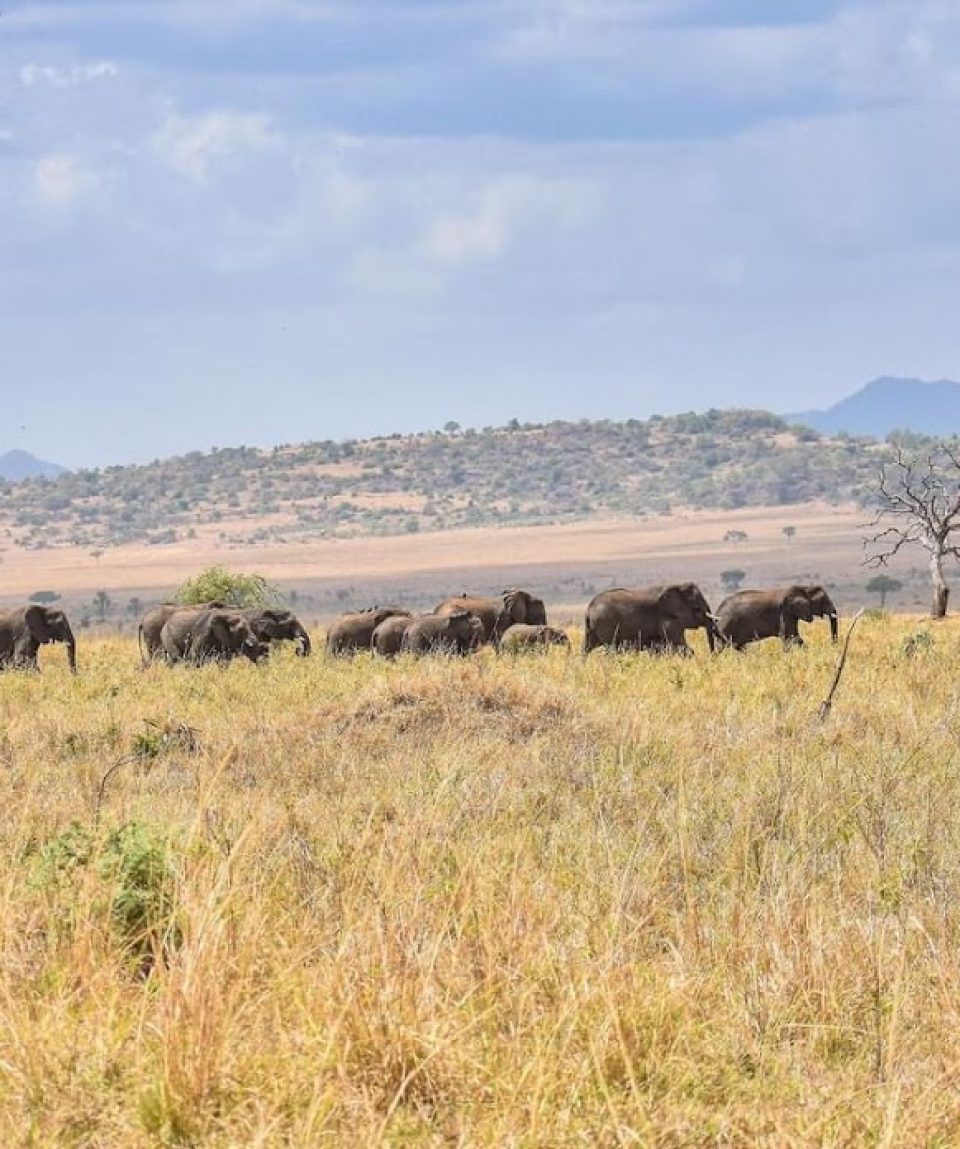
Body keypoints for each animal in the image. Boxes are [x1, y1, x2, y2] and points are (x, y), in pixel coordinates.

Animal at [581, 583, 716, 657]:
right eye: (697, 608)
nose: (712, 657)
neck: (678, 586)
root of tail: (589, 608)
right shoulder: (668, 620)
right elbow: (682, 646)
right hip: (606, 624)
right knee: (612, 650)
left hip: (593, 628)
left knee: (586, 648)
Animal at [711, 583, 840, 648]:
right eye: (823, 600)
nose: (833, 645)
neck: (804, 588)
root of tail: (717, 612)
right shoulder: (784, 612)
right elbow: (789, 636)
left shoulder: (791, 614)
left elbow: (794, 636)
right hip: (726, 627)